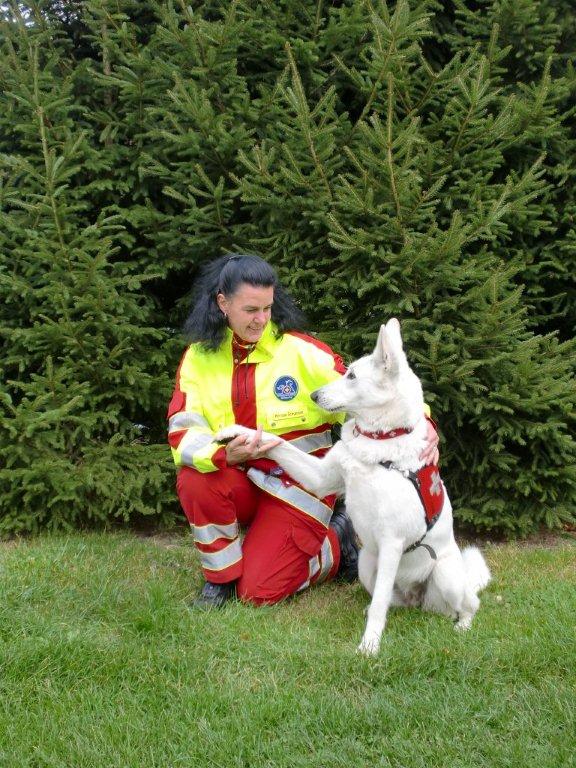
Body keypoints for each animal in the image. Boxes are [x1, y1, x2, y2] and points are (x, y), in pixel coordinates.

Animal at [216, 318, 490, 656]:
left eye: (352, 376)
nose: (314, 395)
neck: (380, 441)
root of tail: (418, 596)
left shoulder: (392, 542)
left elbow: (381, 607)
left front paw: (369, 647)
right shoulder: (321, 477)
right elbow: (276, 442)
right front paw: (234, 433)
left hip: (444, 574)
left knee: (468, 604)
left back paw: (462, 624)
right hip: (365, 565)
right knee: (391, 601)